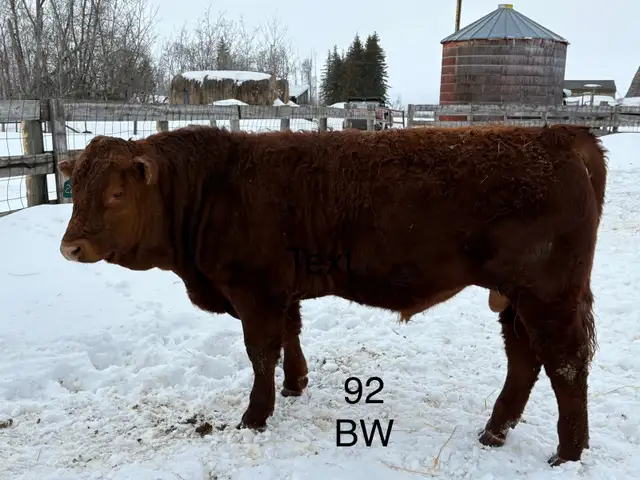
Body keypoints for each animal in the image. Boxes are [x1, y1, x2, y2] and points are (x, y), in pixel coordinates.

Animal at [57, 123, 607, 466]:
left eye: (116, 193)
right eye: (76, 190)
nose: (70, 246)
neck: (213, 188)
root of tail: (558, 134)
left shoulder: (253, 290)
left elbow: (260, 352)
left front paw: (255, 416)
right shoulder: (282, 289)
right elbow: (290, 336)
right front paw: (295, 385)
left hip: (547, 294)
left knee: (566, 364)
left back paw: (567, 452)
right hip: (516, 298)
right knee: (525, 359)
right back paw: (495, 431)